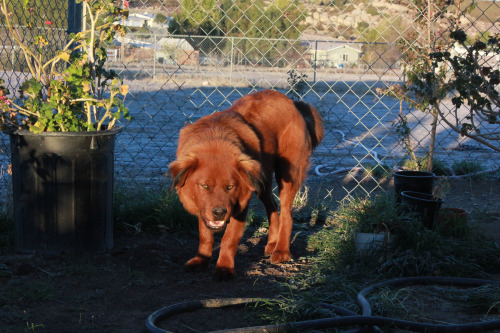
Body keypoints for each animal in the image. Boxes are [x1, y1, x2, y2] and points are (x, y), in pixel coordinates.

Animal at [168, 89, 324, 280]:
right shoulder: (203, 206)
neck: (214, 138)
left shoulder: (240, 205)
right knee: (272, 208)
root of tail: (292, 102)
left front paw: (224, 268)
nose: (219, 212)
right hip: (261, 180)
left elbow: (229, 238)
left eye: (230, 187)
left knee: (286, 213)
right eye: (205, 186)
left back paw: (281, 250)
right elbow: (205, 235)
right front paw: (201, 260)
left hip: (287, 174)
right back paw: (272, 242)